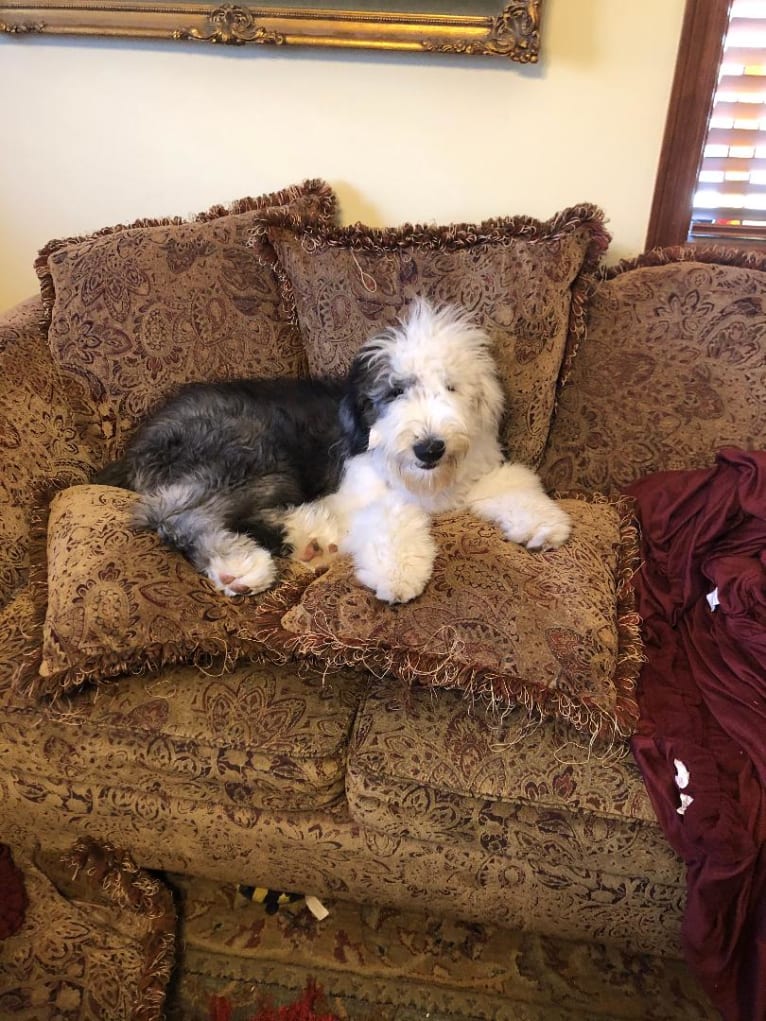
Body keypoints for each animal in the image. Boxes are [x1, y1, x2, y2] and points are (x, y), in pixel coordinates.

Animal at [96, 300, 571, 604]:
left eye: (450, 387)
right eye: (395, 392)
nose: (429, 448)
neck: (424, 481)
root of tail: (136, 446)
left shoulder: (478, 471)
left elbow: (511, 481)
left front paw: (542, 523)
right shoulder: (358, 491)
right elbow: (390, 515)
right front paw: (397, 573)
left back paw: (307, 537)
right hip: (252, 453)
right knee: (174, 514)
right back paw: (240, 563)